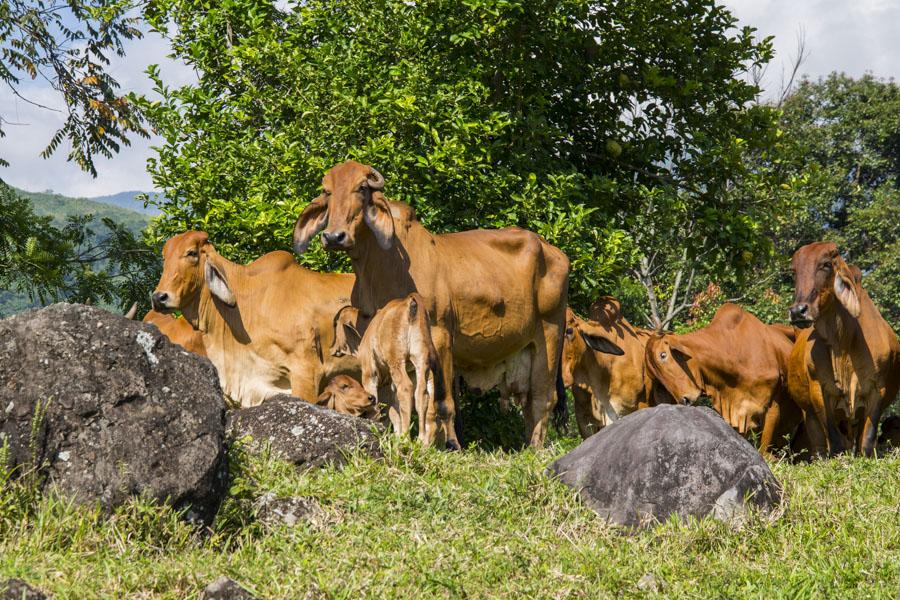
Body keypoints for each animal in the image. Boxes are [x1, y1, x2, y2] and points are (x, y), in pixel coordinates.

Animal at [330, 292, 446, 442]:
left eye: (335, 324)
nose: (332, 349)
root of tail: (410, 300)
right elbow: (394, 411)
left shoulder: (369, 373)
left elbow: (374, 403)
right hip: (420, 361)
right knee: (422, 393)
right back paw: (421, 440)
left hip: (397, 360)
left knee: (406, 388)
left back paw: (406, 438)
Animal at [788, 241, 900, 458]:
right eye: (794, 271)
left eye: (825, 264)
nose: (798, 311)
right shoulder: (819, 389)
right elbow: (834, 440)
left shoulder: (877, 390)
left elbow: (867, 441)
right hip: (809, 415)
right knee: (820, 445)